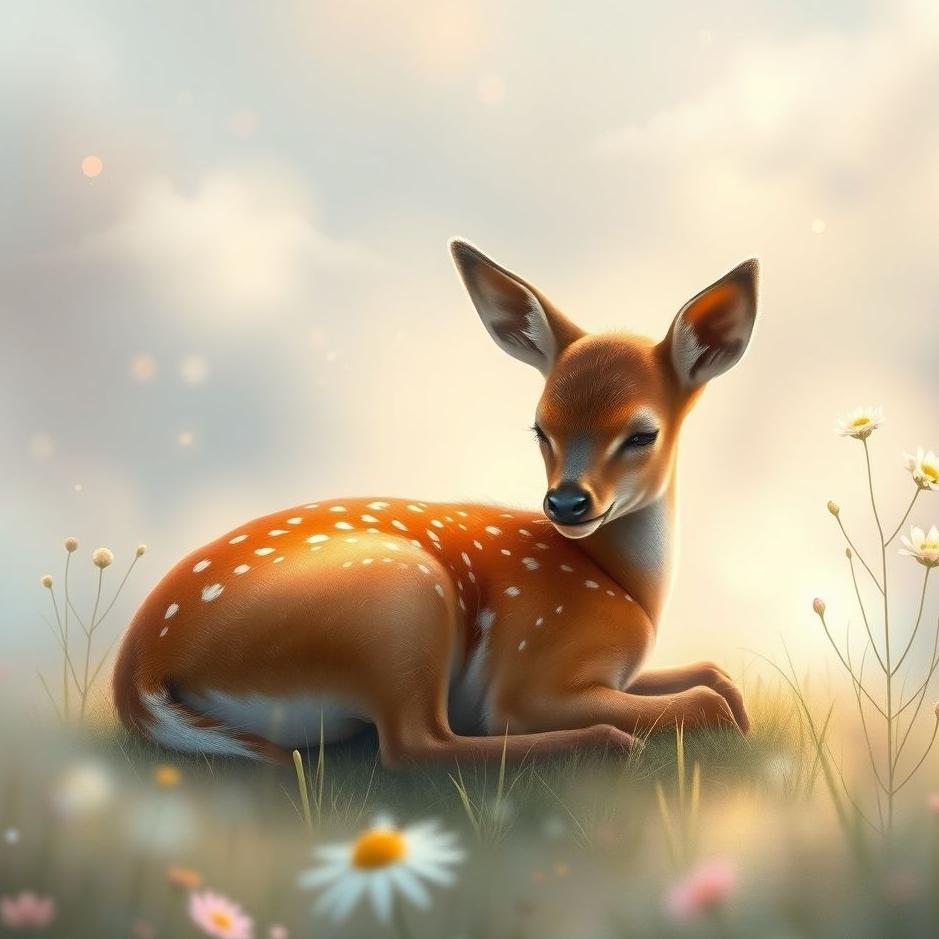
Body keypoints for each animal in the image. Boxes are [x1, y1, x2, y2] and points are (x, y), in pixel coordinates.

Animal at [113, 240, 758, 766]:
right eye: (540, 428)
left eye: (643, 434)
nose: (567, 503)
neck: (627, 587)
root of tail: (137, 670)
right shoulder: (534, 670)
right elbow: (704, 699)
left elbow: (714, 672)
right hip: (399, 599)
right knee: (415, 745)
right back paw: (608, 742)